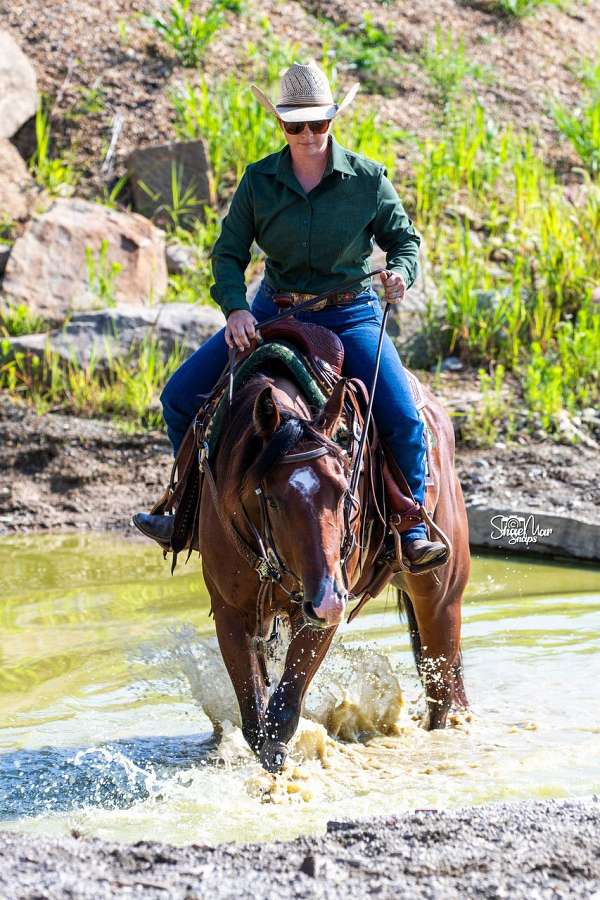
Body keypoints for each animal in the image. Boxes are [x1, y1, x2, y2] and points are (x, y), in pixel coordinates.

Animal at [195, 336, 472, 772]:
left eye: (345, 491)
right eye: (272, 500)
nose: (326, 600)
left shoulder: (320, 617)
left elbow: (283, 710)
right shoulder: (231, 612)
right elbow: (255, 716)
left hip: (440, 599)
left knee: (440, 692)